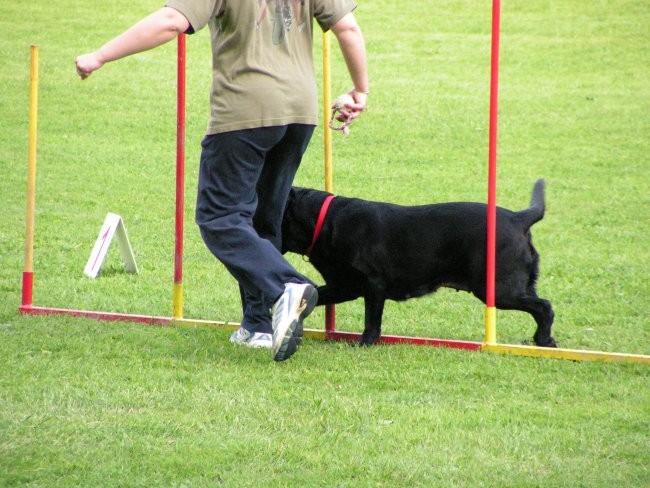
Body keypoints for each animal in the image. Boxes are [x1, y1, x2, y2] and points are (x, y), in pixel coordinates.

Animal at [280, 179, 556, 346]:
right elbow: (316, 294)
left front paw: (364, 343)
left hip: (497, 289)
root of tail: (518, 218)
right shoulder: (344, 286)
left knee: (544, 307)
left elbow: (372, 321)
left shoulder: (373, 284)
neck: (325, 222)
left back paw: (544, 340)